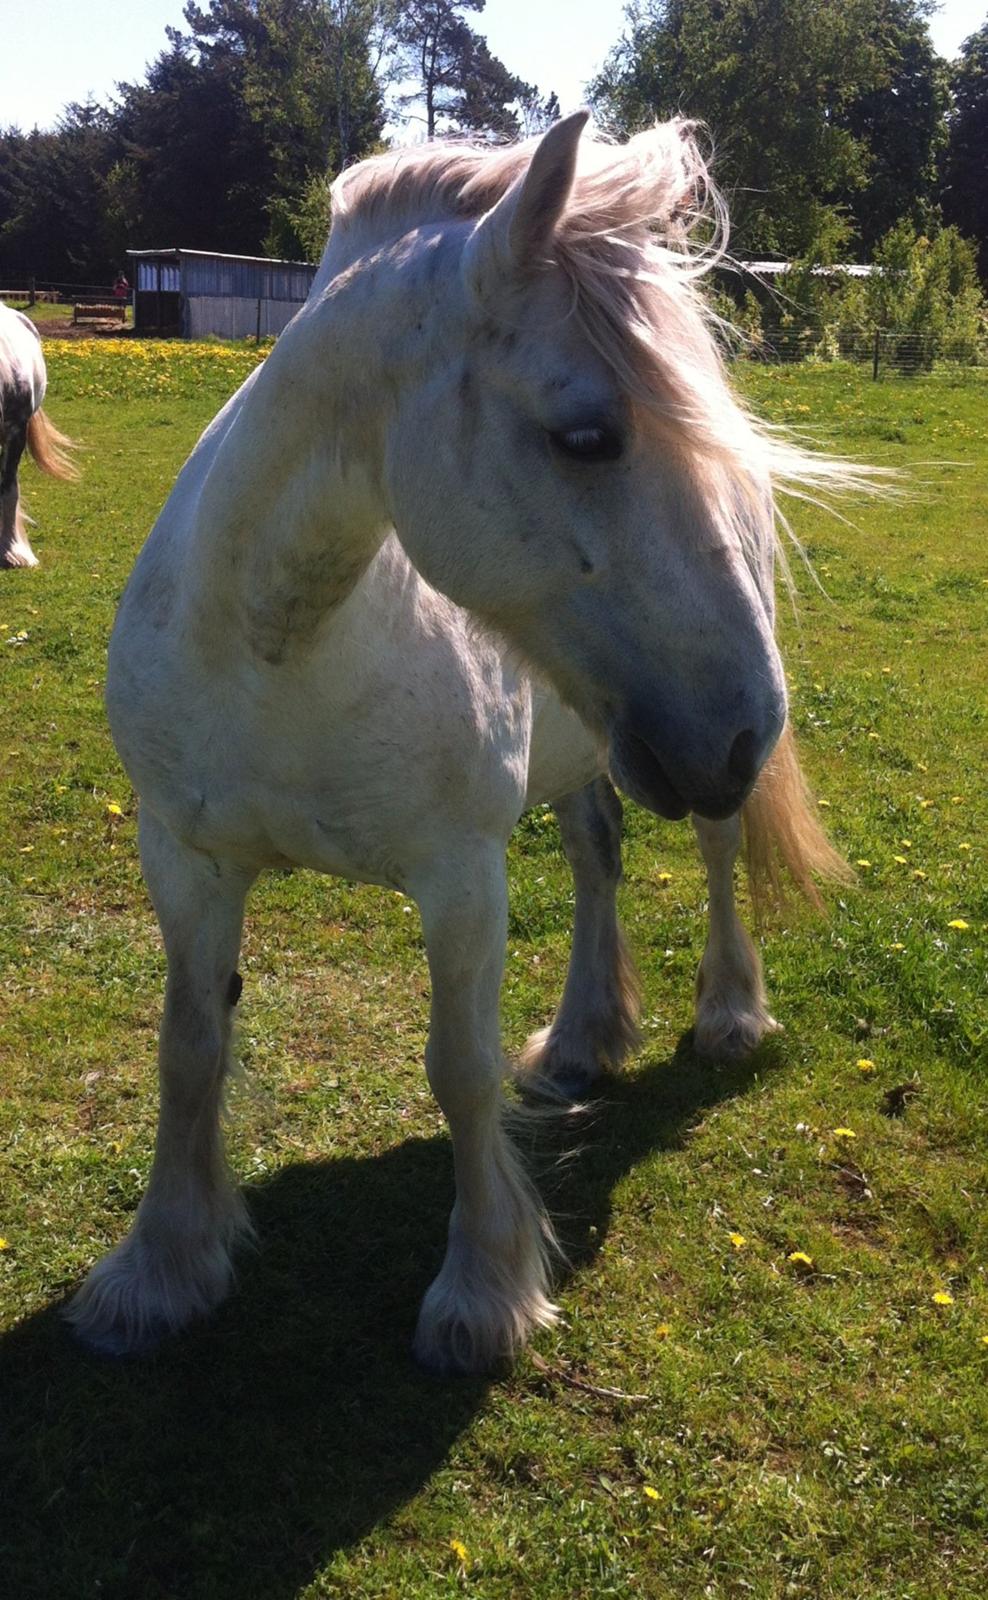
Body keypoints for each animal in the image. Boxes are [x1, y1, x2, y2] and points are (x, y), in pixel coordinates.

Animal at [73, 116, 850, 1376]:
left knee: (720, 854)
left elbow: (460, 1066)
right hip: (601, 743)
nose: (742, 727)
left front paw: (483, 1288)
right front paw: (160, 1268)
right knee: (596, 856)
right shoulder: (182, 858)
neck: (279, 642)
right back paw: (584, 1036)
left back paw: (730, 1014)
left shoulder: (460, 875)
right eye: (586, 435)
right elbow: (187, 1046)